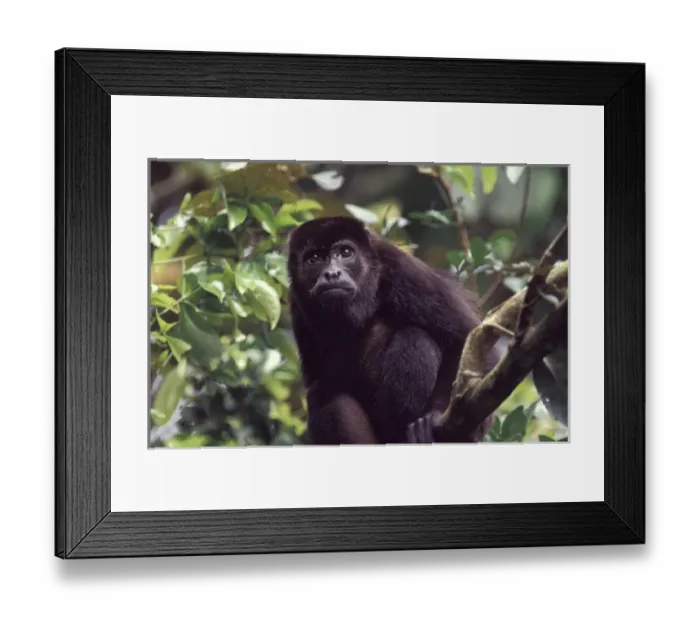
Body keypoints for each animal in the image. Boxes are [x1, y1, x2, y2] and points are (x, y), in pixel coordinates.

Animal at [287, 216, 495, 445]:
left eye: (345, 252)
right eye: (314, 258)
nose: (332, 274)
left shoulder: (402, 268)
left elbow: (463, 338)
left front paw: (435, 416)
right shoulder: (296, 303)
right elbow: (316, 379)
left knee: (415, 339)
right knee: (323, 393)